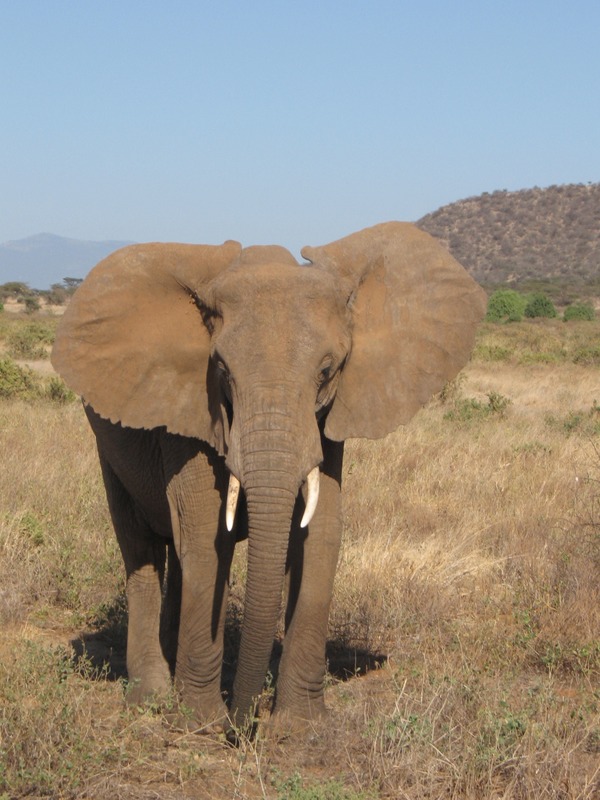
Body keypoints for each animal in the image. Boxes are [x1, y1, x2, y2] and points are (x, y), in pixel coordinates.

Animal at [51, 222, 488, 736]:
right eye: (221, 369)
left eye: (327, 370)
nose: (242, 726)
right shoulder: (190, 409)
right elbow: (207, 535)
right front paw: (201, 723)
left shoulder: (327, 421)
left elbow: (320, 533)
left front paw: (300, 727)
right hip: (107, 444)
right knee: (140, 550)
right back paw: (151, 698)